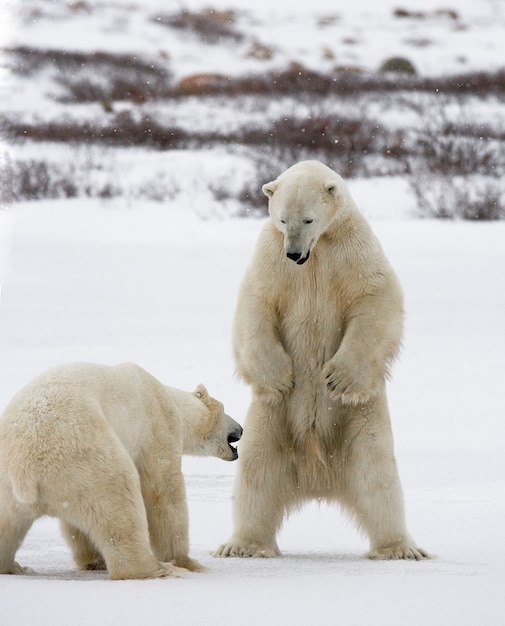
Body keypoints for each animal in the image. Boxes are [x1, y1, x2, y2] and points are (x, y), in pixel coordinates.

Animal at [0, 364, 242, 576]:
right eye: (226, 410)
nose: (241, 428)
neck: (170, 399)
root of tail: (24, 469)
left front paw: (93, 560)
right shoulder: (158, 426)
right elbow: (163, 491)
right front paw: (186, 561)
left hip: (9, 486)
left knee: (7, 526)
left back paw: (15, 567)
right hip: (85, 459)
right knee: (119, 504)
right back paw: (157, 568)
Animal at [214, 161, 430, 560]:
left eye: (309, 219)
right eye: (282, 219)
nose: (294, 253)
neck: (317, 254)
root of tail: (319, 478)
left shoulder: (354, 250)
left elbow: (375, 297)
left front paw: (337, 377)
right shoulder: (270, 256)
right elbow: (256, 303)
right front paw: (280, 375)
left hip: (362, 420)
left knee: (379, 479)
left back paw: (400, 548)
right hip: (270, 418)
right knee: (256, 473)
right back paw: (243, 545)